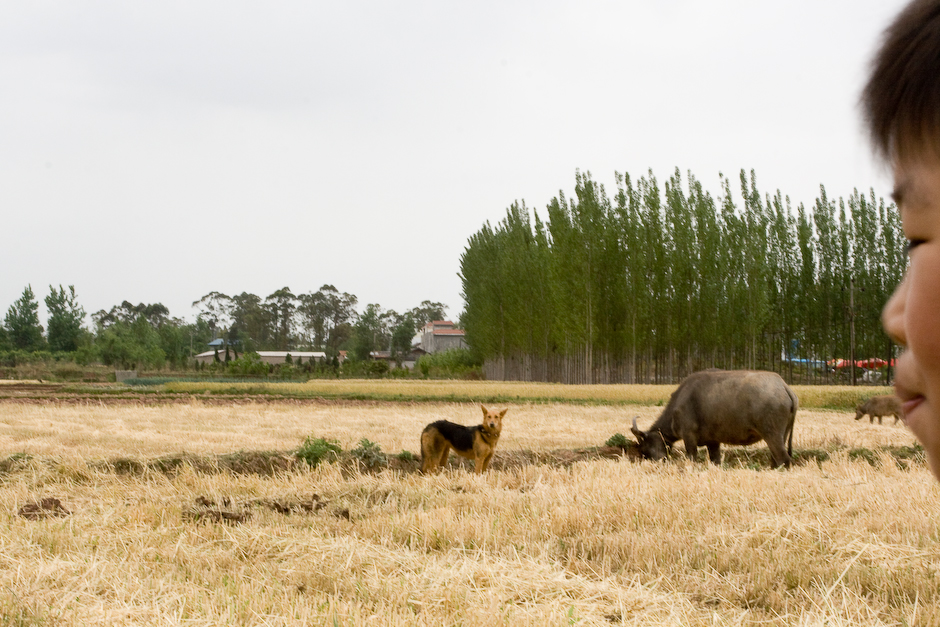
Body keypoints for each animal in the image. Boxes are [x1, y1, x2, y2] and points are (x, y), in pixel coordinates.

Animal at [630, 369, 798, 468]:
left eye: (645, 449)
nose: (656, 463)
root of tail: (784, 387)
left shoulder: (689, 437)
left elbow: (692, 457)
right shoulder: (713, 442)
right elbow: (715, 460)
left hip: (772, 435)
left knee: (783, 458)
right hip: (782, 435)